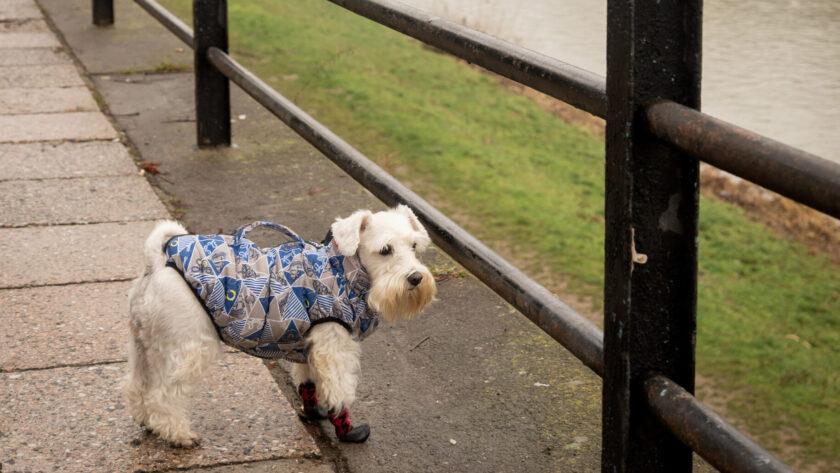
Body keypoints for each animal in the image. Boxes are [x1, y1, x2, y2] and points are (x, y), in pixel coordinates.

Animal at [127, 205, 440, 444]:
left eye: (414, 246)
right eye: (385, 250)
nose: (415, 278)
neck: (343, 272)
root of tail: (158, 261)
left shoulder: (310, 347)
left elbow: (309, 383)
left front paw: (314, 413)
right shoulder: (335, 349)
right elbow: (340, 393)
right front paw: (347, 430)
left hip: (144, 347)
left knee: (137, 386)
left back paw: (147, 420)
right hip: (189, 347)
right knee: (163, 394)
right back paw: (178, 434)